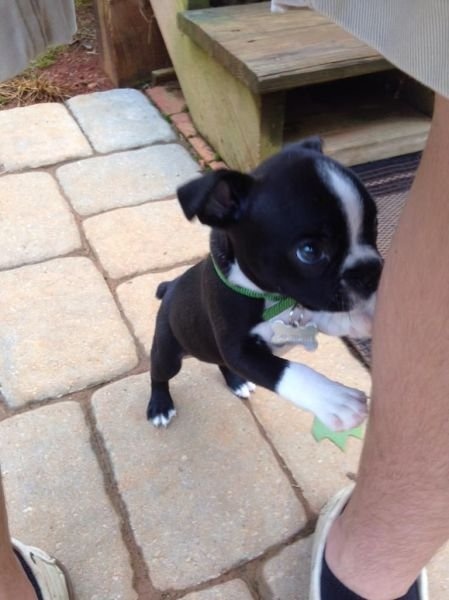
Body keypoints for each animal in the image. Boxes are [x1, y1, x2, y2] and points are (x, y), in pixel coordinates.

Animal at [148, 138, 382, 431]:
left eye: (374, 223)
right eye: (310, 251)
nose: (371, 271)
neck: (270, 298)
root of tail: (170, 286)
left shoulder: (305, 304)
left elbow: (327, 315)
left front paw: (364, 318)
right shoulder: (239, 350)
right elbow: (287, 370)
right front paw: (335, 399)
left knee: (221, 363)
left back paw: (236, 382)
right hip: (168, 349)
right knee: (159, 372)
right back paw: (159, 405)